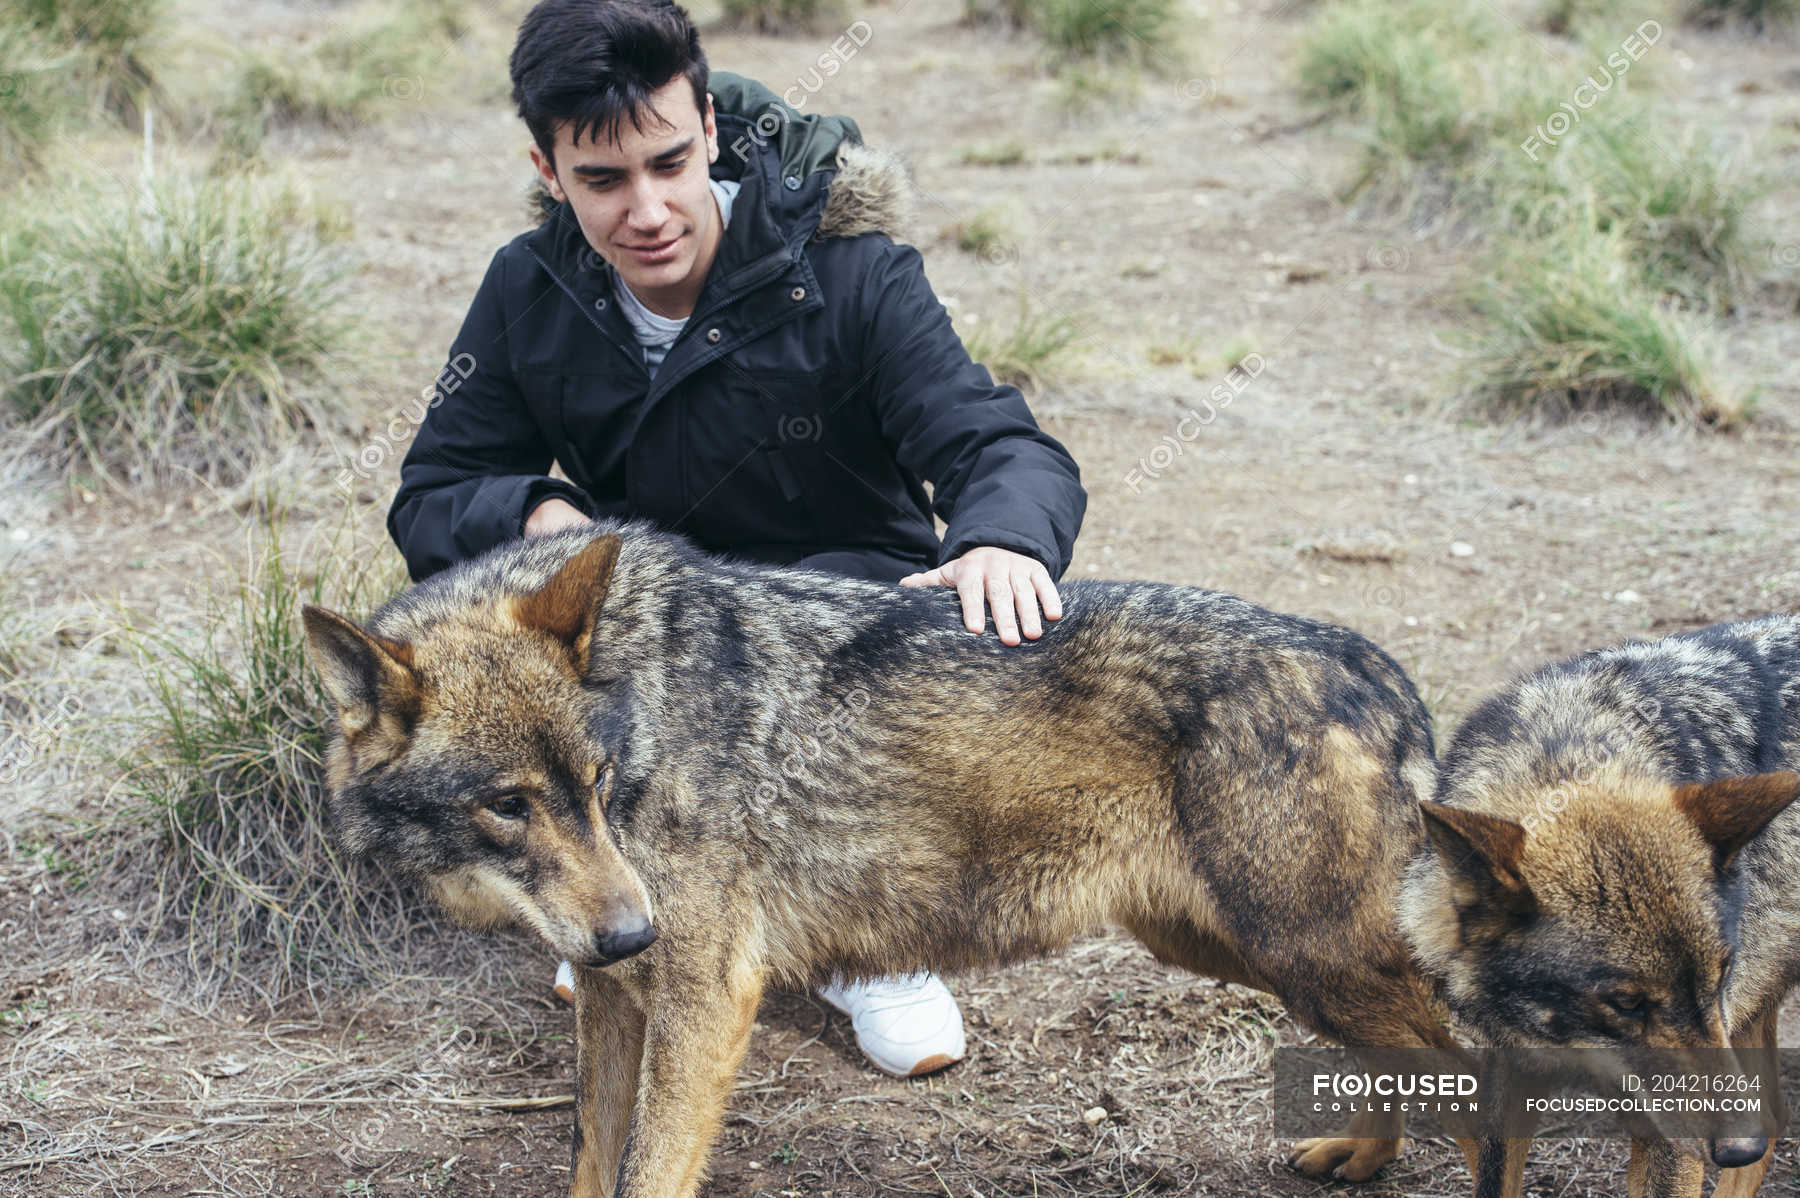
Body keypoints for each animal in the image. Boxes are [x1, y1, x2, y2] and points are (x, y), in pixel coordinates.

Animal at [302, 521, 1468, 1194]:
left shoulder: (703, 998)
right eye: (508, 807)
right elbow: (593, 1159)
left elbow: (651, 1171)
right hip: (1242, 953)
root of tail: (1378, 667)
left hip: (1302, 957)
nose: (635, 928)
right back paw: (1361, 1162)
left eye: (594, 784)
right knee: (1408, 1061)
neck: (644, 705)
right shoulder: (613, 994)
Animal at [1404, 615, 1800, 1194]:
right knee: (1772, 1123)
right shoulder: (1512, 1067)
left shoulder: (1672, 1142)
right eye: (1626, 1002)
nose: (1735, 1147)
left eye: (1719, 976)